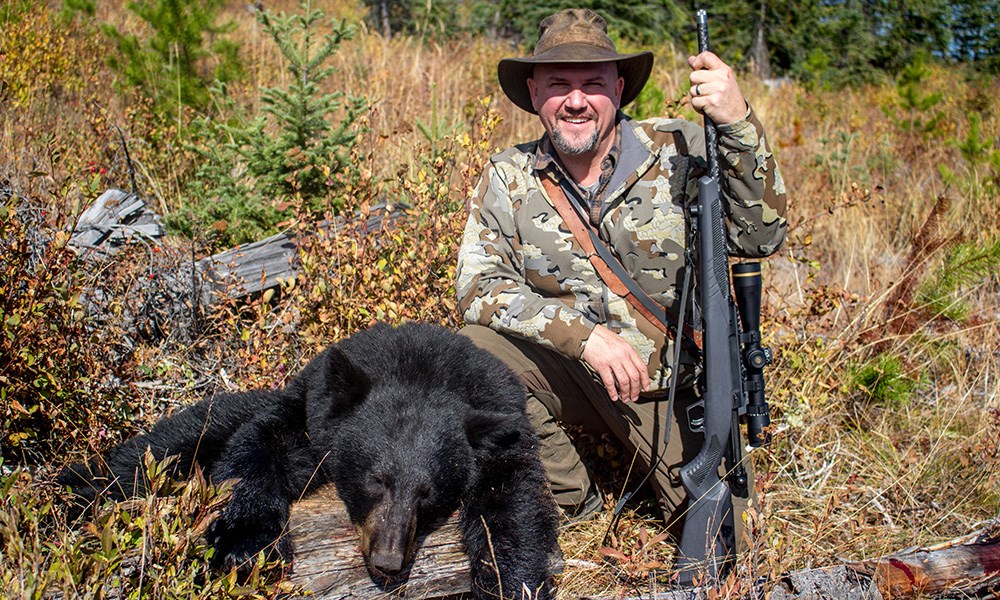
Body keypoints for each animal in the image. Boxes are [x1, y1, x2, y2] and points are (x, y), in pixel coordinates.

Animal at [60, 324, 564, 600]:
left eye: (429, 494)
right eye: (376, 480)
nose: (387, 561)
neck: (422, 371)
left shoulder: (504, 431)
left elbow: (511, 507)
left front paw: (511, 582)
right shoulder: (312, 414)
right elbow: (262, 444)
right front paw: (246, 542)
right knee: (162, 448)